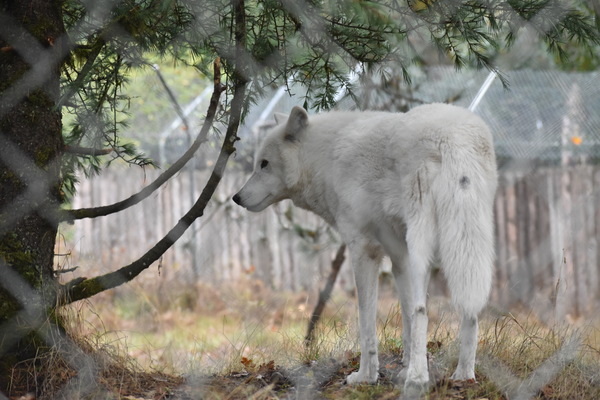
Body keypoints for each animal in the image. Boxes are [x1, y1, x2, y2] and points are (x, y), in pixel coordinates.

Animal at [233, 103, 497, 391]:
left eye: (264, 164)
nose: (236, 197)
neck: (327, 158)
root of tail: (454, 137)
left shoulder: (363, 250)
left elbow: (368, 321)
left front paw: (366, 376)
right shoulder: (399, 257)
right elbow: (405, 319)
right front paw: (403, 368)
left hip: (425, 246)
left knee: (422, 310)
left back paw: (418, 379)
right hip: (468, 248)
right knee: (469, 311)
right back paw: (464, 375)